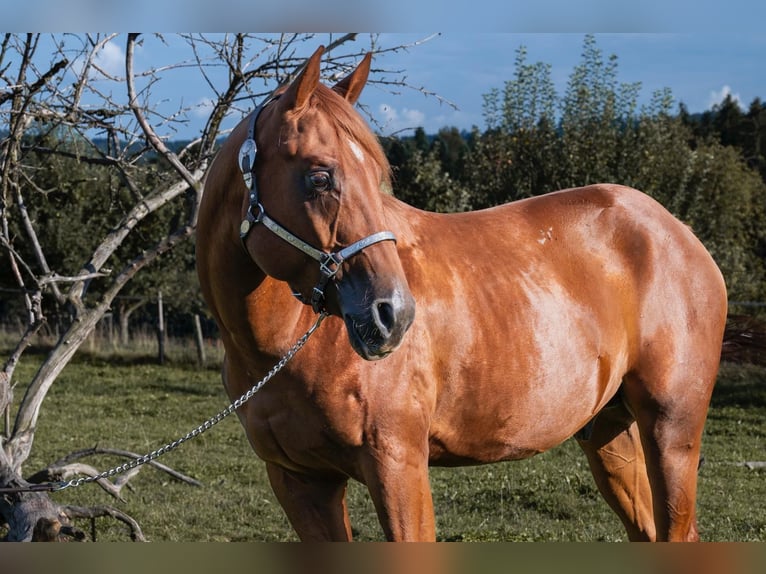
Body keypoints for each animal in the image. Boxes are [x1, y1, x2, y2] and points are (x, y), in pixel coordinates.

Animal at [195, 46, 728, 544]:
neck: (285, 347)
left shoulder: (397, 466)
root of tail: (678, 232)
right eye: (319, 176)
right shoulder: (301, 483)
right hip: (610, 433)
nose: (392, 314)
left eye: (377, 177)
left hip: (671, 432)